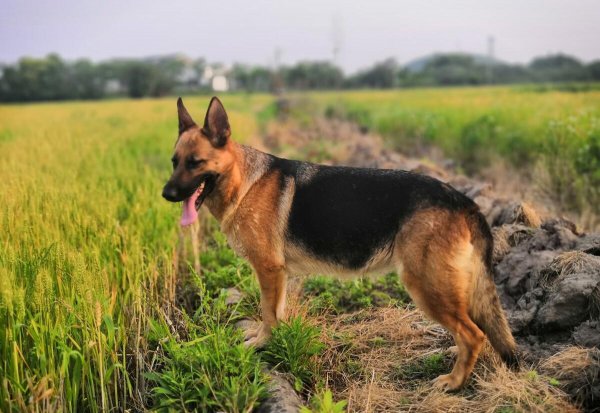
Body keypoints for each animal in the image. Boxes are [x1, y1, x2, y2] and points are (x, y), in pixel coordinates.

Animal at [162, 96, 516, 390]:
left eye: (195, 162)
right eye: (174, 161)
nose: (166, 194)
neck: (243, 182)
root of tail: (465, 202)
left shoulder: (269, 271)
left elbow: (267, 312)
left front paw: (264, 344)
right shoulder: (280, 276)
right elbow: (277, 313)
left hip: (427, 287)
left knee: (474, 335)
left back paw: (454, 382)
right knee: (474, 332)